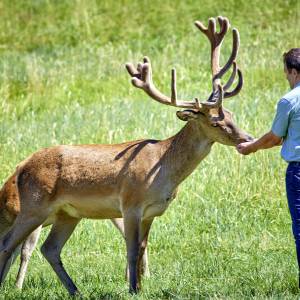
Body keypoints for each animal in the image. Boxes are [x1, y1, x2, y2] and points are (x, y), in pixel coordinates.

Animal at [0, 17, 252, 296]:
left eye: (232, 115)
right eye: (216, 122)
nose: (247, 138)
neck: (163, 169)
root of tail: (21, 167)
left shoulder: (151, 212)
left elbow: (141, 248)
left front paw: (140, 287)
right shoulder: (131, 203)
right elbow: (131, 250)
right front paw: (132, 289)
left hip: (68, 213)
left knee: (50, 248)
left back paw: (76, 291)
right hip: (34, 205)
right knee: (8, 243)